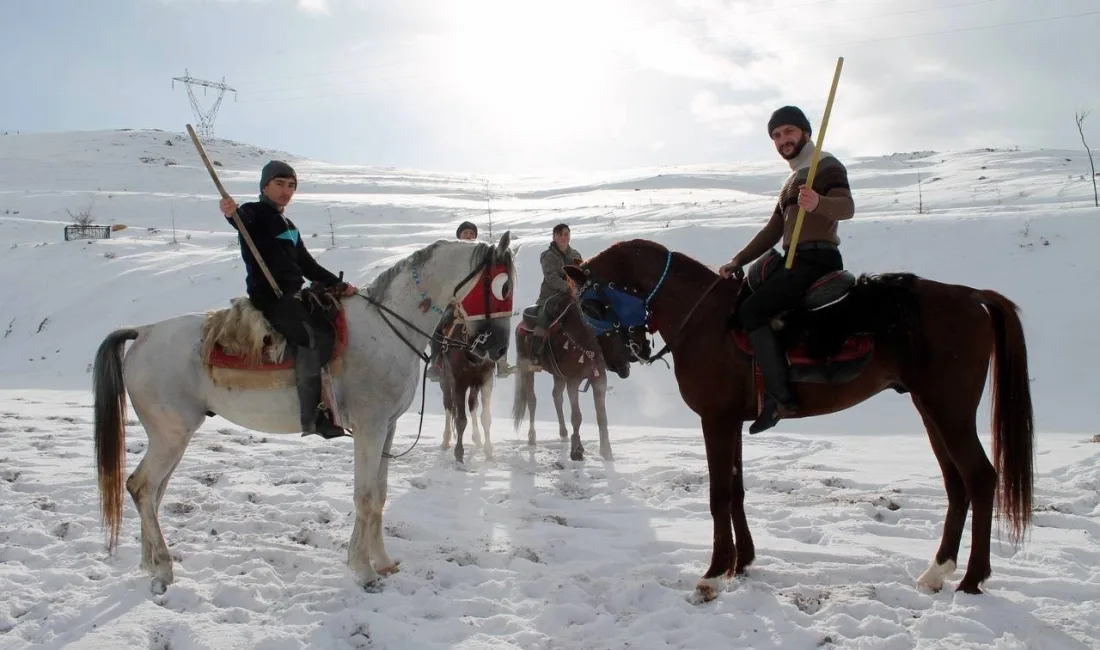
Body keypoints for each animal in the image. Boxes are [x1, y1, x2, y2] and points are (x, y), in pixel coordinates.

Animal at [440, 318, 497, 466]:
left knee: (472, 405)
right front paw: (459, 455)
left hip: (474, 385)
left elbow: (486, 417)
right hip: (445, 380)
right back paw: (445, 440)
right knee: (448, 405)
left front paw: (488, 450)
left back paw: (477, 439)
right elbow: (460, 420)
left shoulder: (486, 380)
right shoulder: (459, 382)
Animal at [510, 292, 642, 466]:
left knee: (557, 396)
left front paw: (607, 453)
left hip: (557, 374)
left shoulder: (598, 379)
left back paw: (563, 434)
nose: (625, 368)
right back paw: (532, 438)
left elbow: (602, 417)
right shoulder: (573, 381)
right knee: (532, 401)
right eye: (613, 334)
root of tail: (520, 325)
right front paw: (577, 450)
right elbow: (576, 416)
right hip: (527, 369)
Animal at [563, 238, 1034, 607]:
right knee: (957, 484)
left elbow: (719, 495)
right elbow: (736, 491)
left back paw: (972, 580)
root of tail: (972, 296)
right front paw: (742, 562)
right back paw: (938, 572)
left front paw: (713, 574)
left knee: (980, 478)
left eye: (591, 304)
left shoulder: (716, 420)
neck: (705, 320)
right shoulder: (732, 422)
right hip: (931, 410)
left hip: (949, 411)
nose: (617, 362)